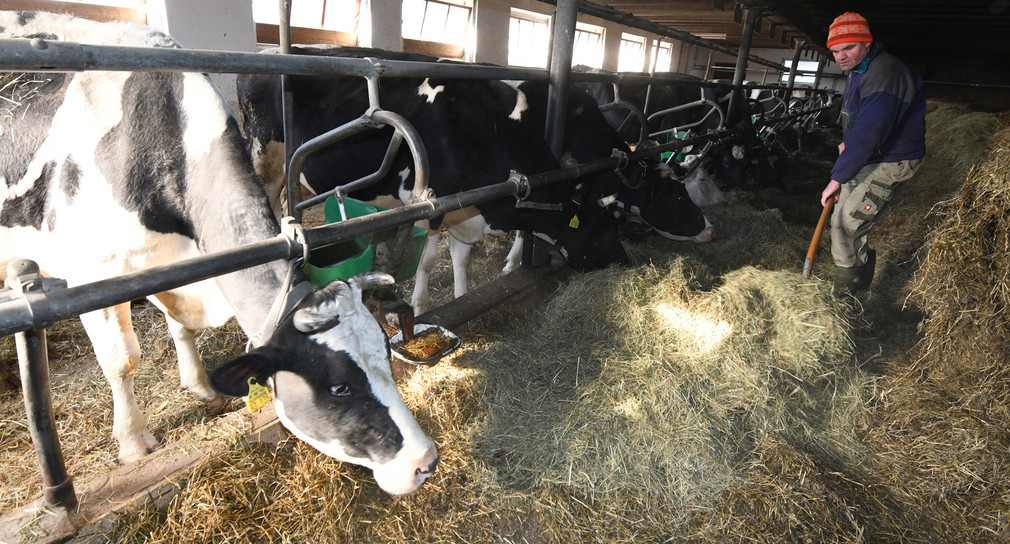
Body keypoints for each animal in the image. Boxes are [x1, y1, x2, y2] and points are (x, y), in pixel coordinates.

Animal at [3, 11, 438, 498]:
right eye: (340, 388)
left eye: (386, 352)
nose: (425, 461)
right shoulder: (94, 274)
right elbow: (121, 361)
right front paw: (133, 442)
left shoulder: (181, 265)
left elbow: (182, 328)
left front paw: (200, 387)